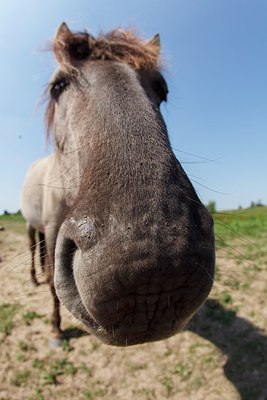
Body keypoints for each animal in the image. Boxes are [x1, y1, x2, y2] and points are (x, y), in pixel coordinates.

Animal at [22, 22, 217, 346]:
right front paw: (55, 330)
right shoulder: (50, 229)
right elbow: (52, 283)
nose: (150, 264)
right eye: (56, 86)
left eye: (162, 89)